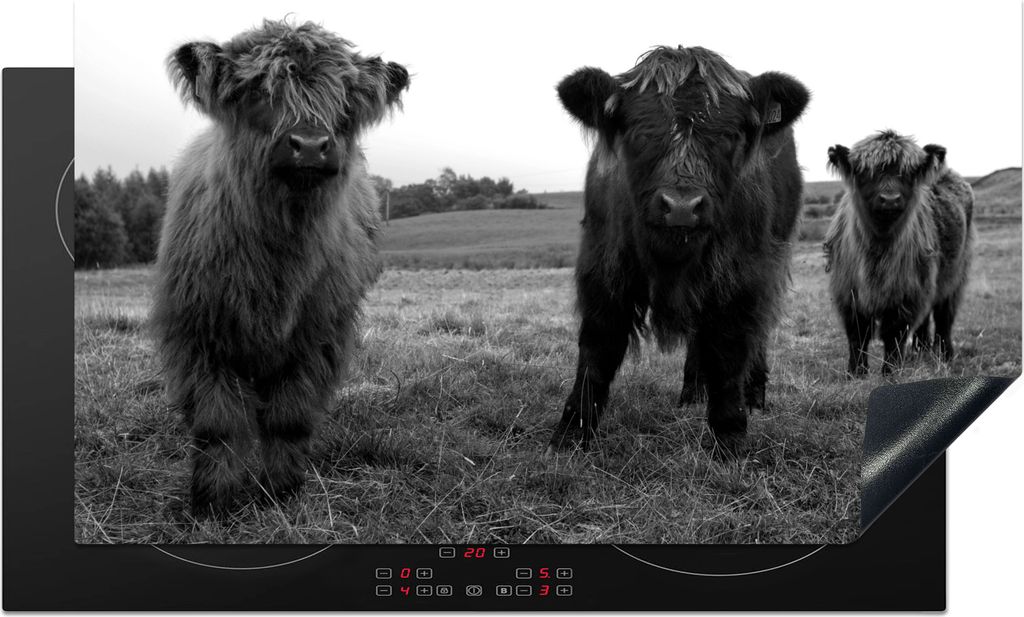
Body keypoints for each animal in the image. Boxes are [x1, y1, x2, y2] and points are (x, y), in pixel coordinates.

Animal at [152, 19, 408, 515]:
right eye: (258, 91)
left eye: (344, 100)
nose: (309, 146)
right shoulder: (198, 336)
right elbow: (217, 425)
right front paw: (213, 501)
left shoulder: (317, 337)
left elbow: (289, 417)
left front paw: (281, 491)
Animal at [548, 46, 810, 453]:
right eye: (639, 133)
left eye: (729, 135)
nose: (683, 207)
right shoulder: (603, 267)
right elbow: (597, 348)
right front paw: (571, 432)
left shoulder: (742, 276)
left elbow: (729, 350)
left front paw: (729, 435)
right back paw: (692, 392)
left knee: (757, 332)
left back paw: (754, 394)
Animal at [824, 130, 973, 376]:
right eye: (866, 172)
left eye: (908, 173)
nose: (890, 199)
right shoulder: (847, 291)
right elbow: (858, 334)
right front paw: (856, 372)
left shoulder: (906, 292)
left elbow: (894, 333)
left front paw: (891, 371)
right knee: (926, 318)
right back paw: (920, 350)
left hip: (956, 273)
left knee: (944, 315)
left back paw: (945, 354)